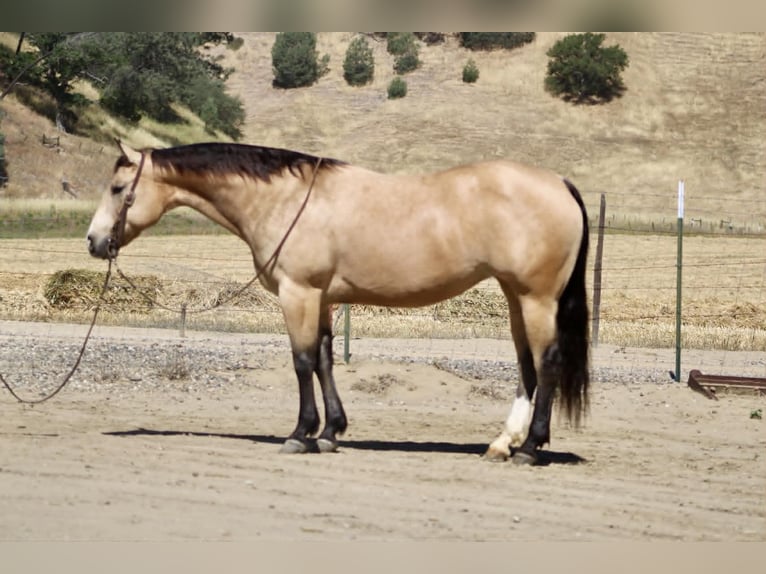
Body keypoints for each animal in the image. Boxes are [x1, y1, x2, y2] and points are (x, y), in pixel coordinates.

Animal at [87, 141, 590, 464]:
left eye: (117, 189)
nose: (94, 241)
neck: (286, 199)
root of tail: (559, 184)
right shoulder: (324, 299)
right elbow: (326, 360)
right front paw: (330, 433)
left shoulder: (299, 293)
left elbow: (302, 360)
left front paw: (300, 434)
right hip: (515, 297)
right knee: (526, 365)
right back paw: (503, 443)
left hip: (536, 298)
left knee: (546, 362)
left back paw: (530, 448)